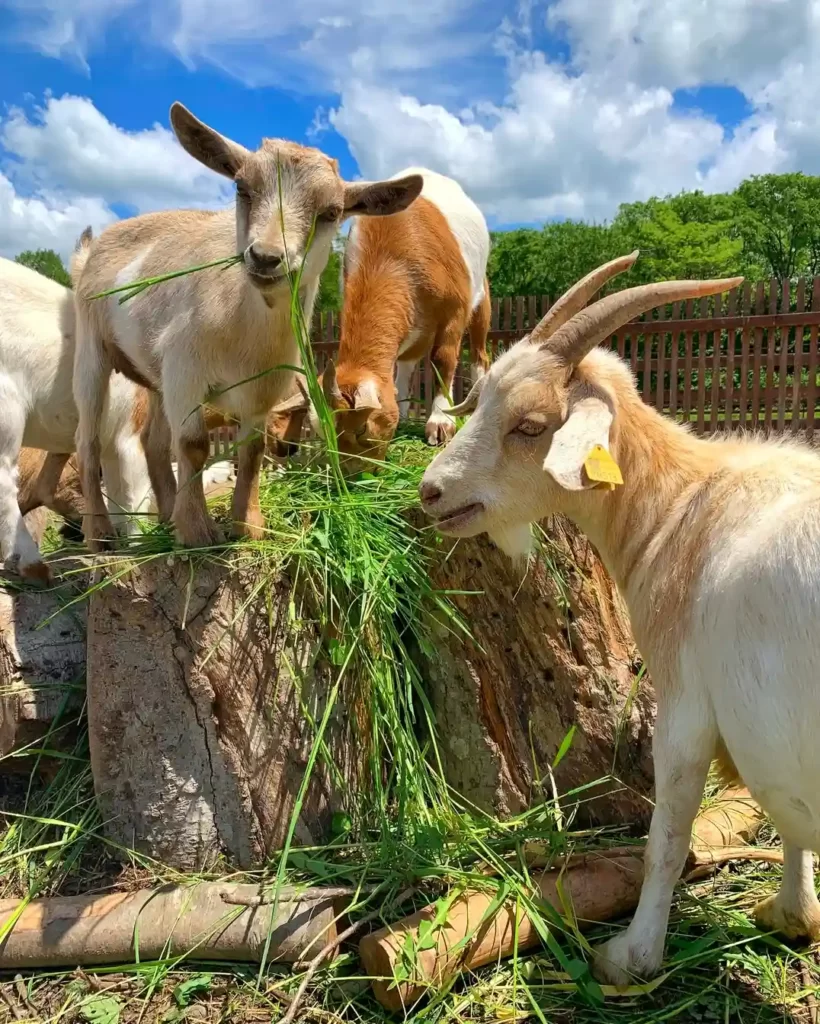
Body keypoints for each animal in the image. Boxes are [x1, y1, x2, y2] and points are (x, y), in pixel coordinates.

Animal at [72, 102, 423, 550]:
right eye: (242, 189)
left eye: (330, 213)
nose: (266, 257)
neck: (244, 330)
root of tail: (92, 250)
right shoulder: (187, 369)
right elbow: (193, 445)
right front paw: (198, 533)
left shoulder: (262, 387)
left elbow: (252, 449)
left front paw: (248, 526)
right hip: (92, 350)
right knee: (89, 439)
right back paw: (100, 535)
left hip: (155, 375)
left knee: (153, 442)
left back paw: (167, 519)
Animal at [272, 168, 490, 472]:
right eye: (322, 434)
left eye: (362, 429)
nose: (353, 477)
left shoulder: (454, 310)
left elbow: (443, 359)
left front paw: (440, 423)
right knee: (407, 364)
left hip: (480, 294)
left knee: (480, 352)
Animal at [419, 254, 820, 984]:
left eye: (530, 425)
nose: (432, 490)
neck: (680, 505)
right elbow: (787, 815)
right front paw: (792, 914)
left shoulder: (685, 705)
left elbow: (668, 836)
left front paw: (629, 957)